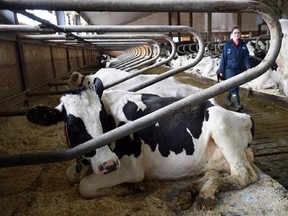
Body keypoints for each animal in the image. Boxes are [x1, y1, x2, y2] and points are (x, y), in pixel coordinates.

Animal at [25, 78, 258, 210]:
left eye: (103, 118)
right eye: (73, 125)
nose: (108, 164)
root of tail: (245, 116)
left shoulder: (130, 167)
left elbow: (85, 186)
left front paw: (126, 188)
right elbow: (71, 176)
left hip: (220, 124)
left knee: (243, 176)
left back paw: (205, 196)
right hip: (214, 159)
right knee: (215, 173)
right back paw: (191, 192)